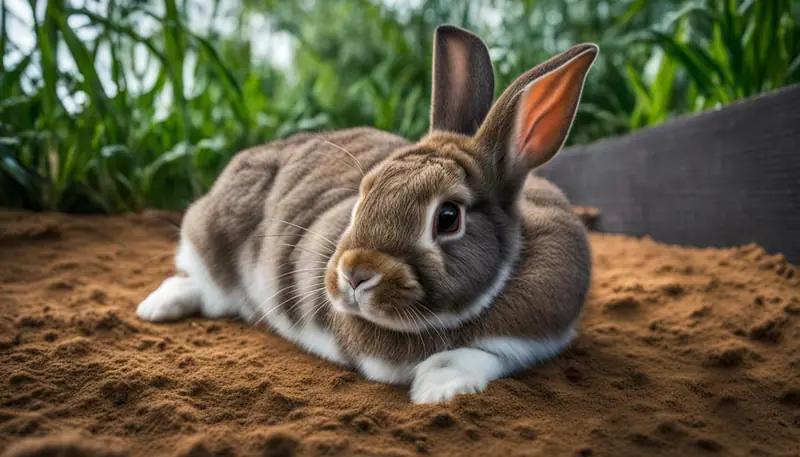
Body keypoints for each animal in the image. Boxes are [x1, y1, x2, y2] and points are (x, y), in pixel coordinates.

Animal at [136, 24, 597, 404]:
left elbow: (474, 355)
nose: (355, 275)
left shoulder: (529, 340)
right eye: (362, 197)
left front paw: (438, 390)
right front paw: (437, 391)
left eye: (448, 217)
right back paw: (154, 309)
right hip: (216, 254)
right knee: (203, 287)